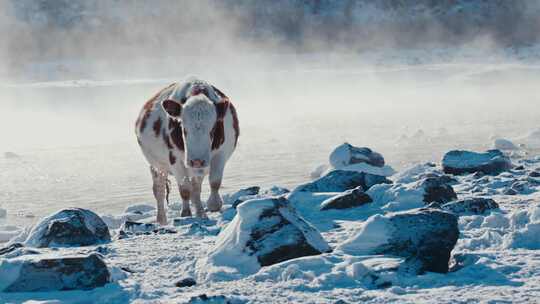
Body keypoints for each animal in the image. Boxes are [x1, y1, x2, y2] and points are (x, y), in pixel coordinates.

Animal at [134, 77, 238, 224]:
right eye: (184, 129)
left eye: (213, 129)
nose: (197, 161)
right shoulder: (175, 159)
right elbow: (184, 189)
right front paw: (186, 213)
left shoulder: (220, 154)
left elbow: (214, 182)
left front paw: (212, 205)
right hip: (157, 166)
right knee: (159, 190)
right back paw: (161, 220)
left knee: (195, 187)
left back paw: (200, 213)